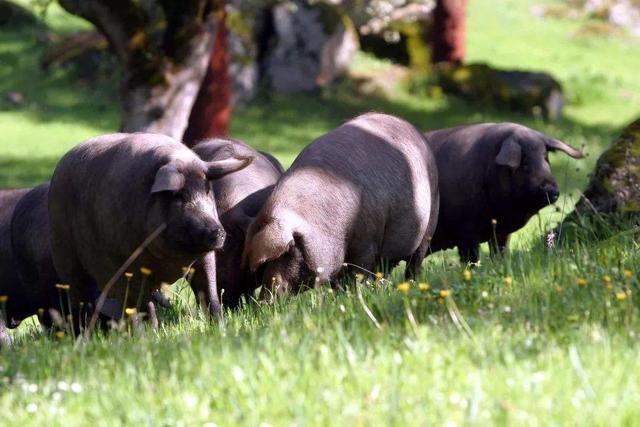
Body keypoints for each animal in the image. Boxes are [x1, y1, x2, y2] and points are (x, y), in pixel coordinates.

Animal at [49, 132, 252, 322]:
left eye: (207, 190)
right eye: (179, 196)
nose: (217, 231)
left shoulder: (205, 257)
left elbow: (209, 290)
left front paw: (219, 324)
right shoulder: (130, 264)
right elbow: (144, 305)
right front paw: (152, 331)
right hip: (65, 255)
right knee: (80, 299)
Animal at [242, 112, 438, 296]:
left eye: (290, 249)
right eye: (264, 264)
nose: (266, 300)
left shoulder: (368, 240)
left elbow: (358, 273)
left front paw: (352, 295)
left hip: (429, 224)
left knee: (414, 263)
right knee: (385, 270)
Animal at [424, 122, 584, 264]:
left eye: (546, 159)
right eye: (525, 164)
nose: (552, 190)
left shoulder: (501, 232)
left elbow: (501, 252)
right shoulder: (466, 231)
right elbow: (471, 259)